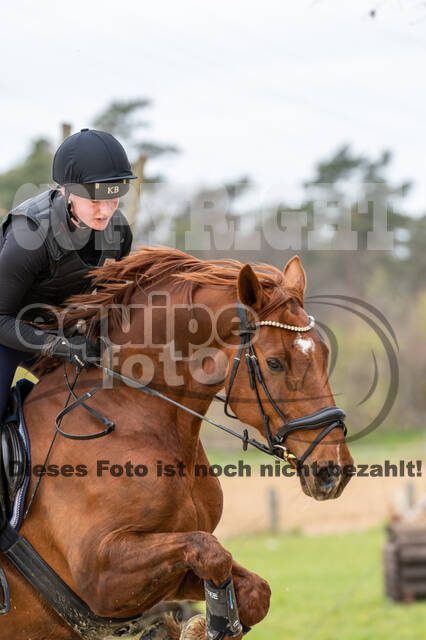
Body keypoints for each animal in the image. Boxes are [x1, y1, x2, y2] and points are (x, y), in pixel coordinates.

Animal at [0, 249, 352, 640]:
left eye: (323, 352)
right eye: (275, 362)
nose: (333, 470)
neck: (129, 416)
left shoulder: (166, 575)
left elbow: (252, 590)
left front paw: (198, 625)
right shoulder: (100, 577)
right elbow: (212, 552)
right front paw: (197, 626)